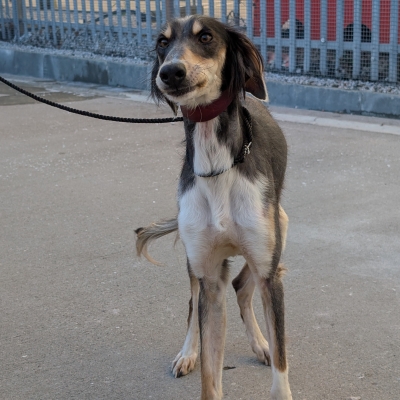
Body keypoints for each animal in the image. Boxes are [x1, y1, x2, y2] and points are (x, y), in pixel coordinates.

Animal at [136, 15, 292, 400]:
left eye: (205, 37)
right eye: (162, 43)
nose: (170, 72)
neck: (218, 164)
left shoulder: (268, 271)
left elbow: (281, 369)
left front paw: (271, 351)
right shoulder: (209, 277)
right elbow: (210, 373)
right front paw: (196, 356)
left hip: (279, 227)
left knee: (244, 284)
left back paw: (262, 343)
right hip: (198, 265)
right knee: (195, 305)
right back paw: (188, 352)